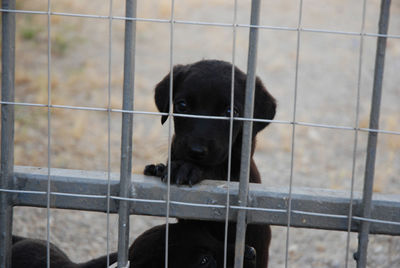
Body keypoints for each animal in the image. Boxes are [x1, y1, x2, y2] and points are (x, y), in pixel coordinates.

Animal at [145, 59, 276, 268]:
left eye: (231, 112)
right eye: (182, 105)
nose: (195, 151)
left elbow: (215, 170)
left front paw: (185, 169)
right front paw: (159, 168)